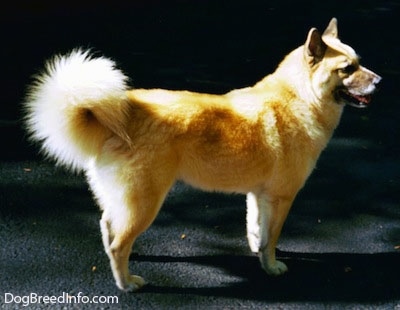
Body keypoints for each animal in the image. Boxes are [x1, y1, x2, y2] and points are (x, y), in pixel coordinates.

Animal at [24, 18, 382, 292]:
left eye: (359, 62)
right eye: (348, 68)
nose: (379, 80)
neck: (299, 98)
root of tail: (117, 114)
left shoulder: (259, 195)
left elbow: (257, 230)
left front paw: (258, 252)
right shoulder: (282, 197)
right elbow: (271, 236)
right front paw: (271, 267)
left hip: (125, 201)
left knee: (108, 227)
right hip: (146, 202)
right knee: (117, 242)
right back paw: (126, 283)